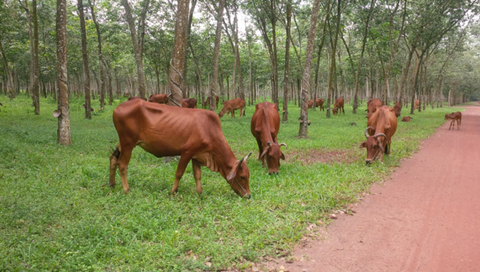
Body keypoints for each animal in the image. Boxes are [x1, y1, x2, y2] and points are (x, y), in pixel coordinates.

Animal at [109, 98, 251, 198]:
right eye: (242, 177)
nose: (248, 196)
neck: (209, 130)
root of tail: (117, 108)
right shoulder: (187, 152)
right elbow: (179, 173)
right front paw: (173, 192)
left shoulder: (197, 156)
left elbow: (197, 175)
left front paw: (200, 192)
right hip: (128, 143)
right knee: (122, 165)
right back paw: (126, 190)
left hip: (122, 142)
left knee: (113, 158)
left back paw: (112, 184)